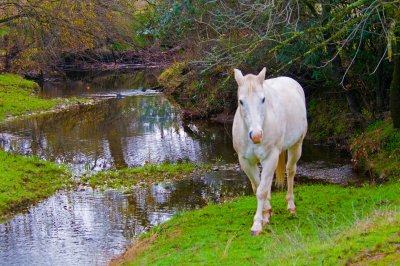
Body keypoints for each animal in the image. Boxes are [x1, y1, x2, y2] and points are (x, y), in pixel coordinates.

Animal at [231, 68, 306, 235]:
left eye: (263, 99)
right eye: (241, 101)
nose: (257, 136)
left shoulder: (270, 157)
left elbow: (261, 191)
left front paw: (257, 224)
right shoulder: (245, 161)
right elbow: (258, 187)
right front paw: (266, 213)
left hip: (296, 145)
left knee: (290, 170)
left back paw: (291, 205)